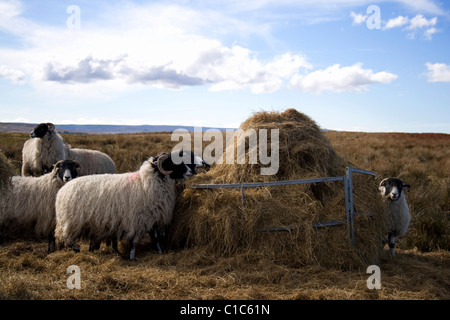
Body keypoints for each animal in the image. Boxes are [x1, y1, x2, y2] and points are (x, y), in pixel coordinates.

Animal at [54, 150, 207, 260]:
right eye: (174, 164)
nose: (190, 171)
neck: (147, 183)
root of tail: (62, 190)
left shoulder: (152, 218)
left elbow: (156, 238)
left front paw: (160, 252)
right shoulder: (136, 219)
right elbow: (134, 242)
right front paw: (132, 257)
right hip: (71, 221)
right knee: (66, 237)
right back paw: (76, 249)